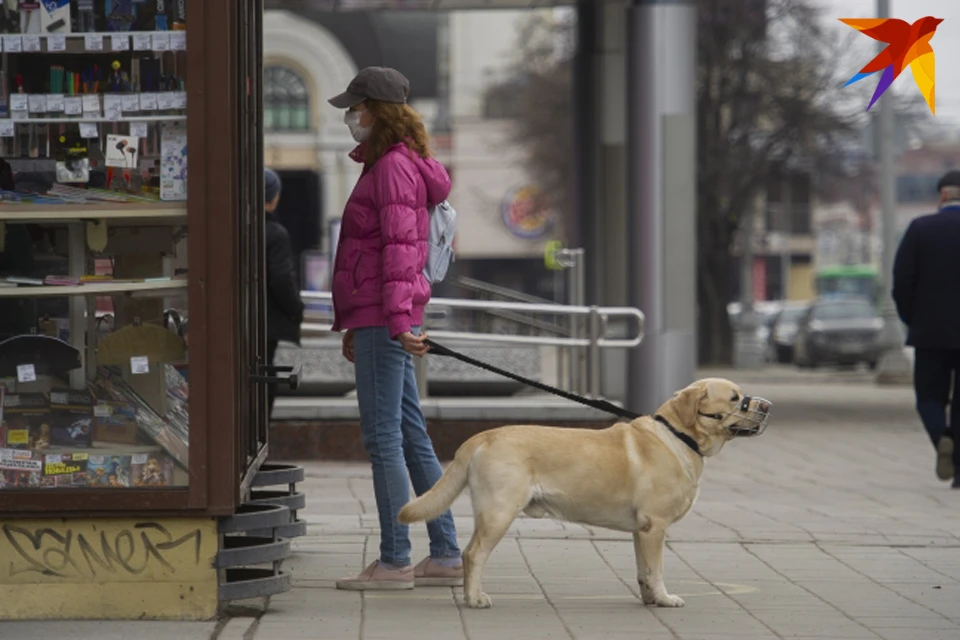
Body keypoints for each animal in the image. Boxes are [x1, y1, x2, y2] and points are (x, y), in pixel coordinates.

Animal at [398, 380, 772, 608]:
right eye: (736, 399)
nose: (767, 406)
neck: (679, 436)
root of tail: (481, 436)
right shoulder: (656, 526)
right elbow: (658, 569)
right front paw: (666, 599)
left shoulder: (642, 530)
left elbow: (644, 570)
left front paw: (650, 598)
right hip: (499, 512)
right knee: (473, 554)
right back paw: (475, 599)